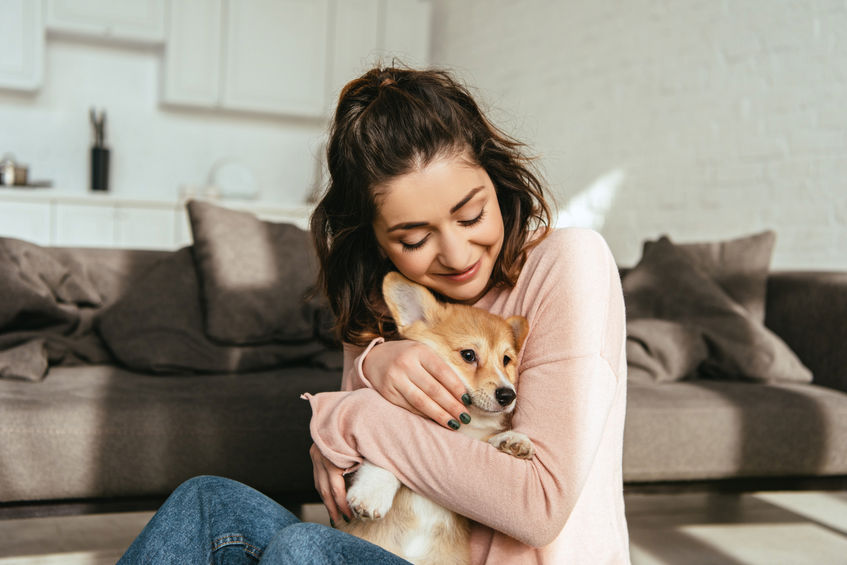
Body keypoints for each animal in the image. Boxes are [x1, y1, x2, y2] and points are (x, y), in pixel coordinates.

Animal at [340, 270, 532, 564]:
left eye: (506, 360)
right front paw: (372, 493)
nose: (508, 395)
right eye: (468, 355)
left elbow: (489, 439)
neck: (460, 424)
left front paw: (513, 440)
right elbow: (385, 455)